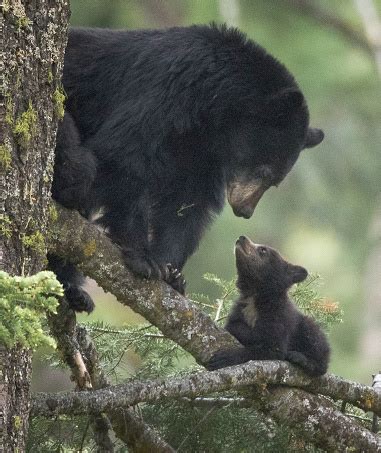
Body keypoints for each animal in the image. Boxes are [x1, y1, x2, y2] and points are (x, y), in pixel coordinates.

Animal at [50, 23, 324, 310]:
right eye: (264, 171)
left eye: (275, 182)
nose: (245, 210)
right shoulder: (167, 89)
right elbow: (126, 153)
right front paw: (143, 257)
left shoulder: (201, 150)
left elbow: (187, 202)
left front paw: (172, 274)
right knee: (80, 166)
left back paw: (73, 291)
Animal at [206, 237, 328, 374]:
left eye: (263, 250)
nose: (241, 238)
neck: (255, 296)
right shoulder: (240, 309)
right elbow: (233, 325)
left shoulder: (278, 318)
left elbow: (271, 348)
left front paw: (225, 357)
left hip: (307, 328)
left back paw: (300, 358)